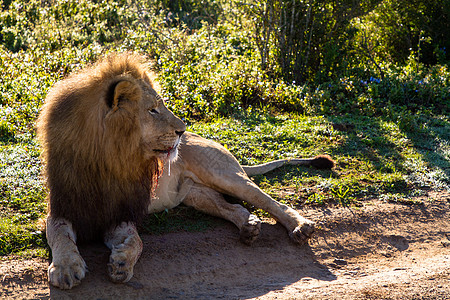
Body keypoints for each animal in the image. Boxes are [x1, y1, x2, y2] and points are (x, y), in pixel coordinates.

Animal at [37, 51, 334, 288]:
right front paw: (66, 268)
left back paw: (300, 226)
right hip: (196, 194)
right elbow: (61, 236)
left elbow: (136, 243)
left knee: (270, 201)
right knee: (233, 208)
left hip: (225, 175)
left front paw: (121, 264)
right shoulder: (62, 207)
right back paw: (249, 227)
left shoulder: (122, 214)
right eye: (153, 110)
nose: (182, 130)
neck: (106, 159)